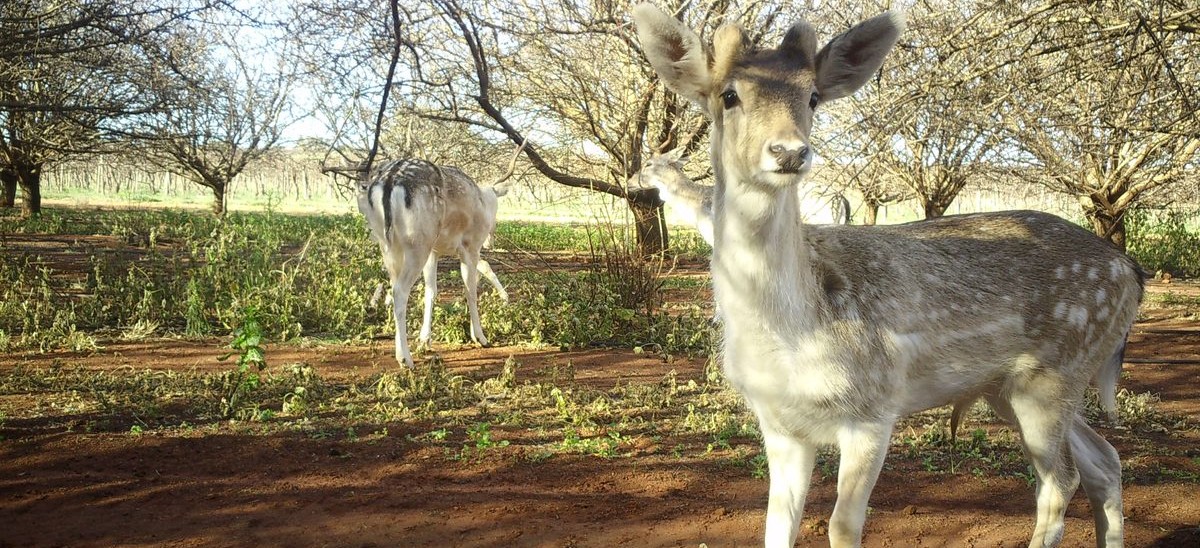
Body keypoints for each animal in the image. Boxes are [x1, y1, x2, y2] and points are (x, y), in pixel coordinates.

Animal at [354, 145, 522, 368]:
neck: (483, 201)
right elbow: (470, 289)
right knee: (400, 291)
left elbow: (431, 291)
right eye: (497, 208)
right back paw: (405, 359)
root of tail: (390, 181)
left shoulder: (434, 251)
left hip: (388, 244)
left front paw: (425, 340)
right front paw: (480, 337)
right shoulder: (469, 246)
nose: (490, 241)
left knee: (393, 284)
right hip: (418, 244)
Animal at [632, 4, 1141, 547]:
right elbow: (776, 525)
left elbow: (842, 525)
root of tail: (1133, 274)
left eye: (813, 96)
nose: (789, 152)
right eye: (729, 95)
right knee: (1104, 460)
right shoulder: (780, 423)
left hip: (1052, 374)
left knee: (1060, 480)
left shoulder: (875, 408)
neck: (791, 338)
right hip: (1010, 388)